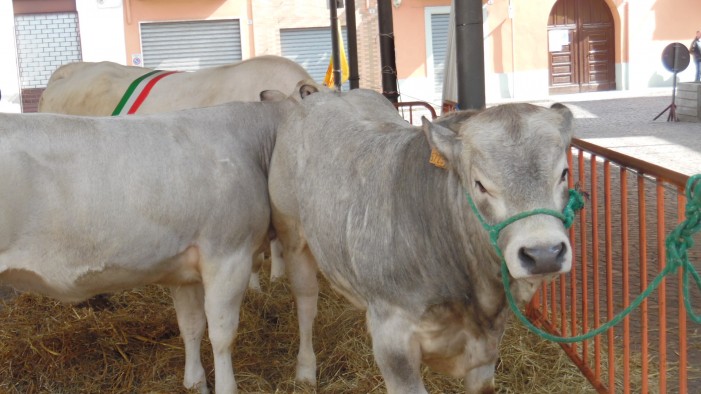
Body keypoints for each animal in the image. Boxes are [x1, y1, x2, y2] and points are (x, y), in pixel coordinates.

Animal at [0, 81, 314, 392]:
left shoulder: (185, 265)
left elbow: (191, 324)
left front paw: (195, 382)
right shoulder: (228, 255)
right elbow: (222, 334)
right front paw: (225, 386)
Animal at [268, 89, 576, 394]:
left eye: (564, 174)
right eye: (480, 184)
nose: (544, 253)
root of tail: (326, 94)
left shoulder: (486, 349)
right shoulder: (393, 342)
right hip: (292, 234)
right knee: (306, 301)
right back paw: (305, 370)